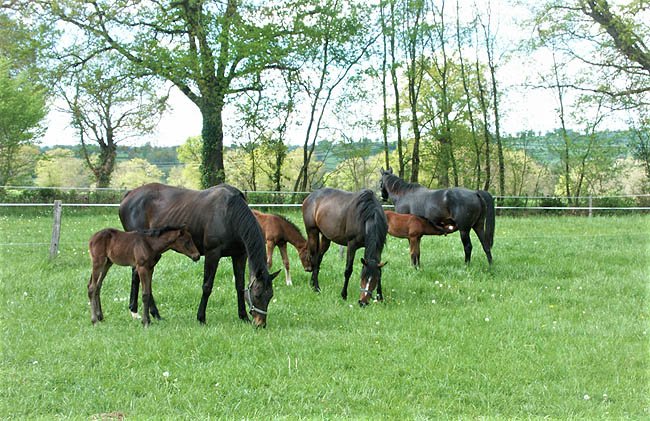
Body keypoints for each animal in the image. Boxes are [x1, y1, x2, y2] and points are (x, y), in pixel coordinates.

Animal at [119, 183, 280, 328]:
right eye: (257, 295)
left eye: (270, 295)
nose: (260, 324)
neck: (229, 214)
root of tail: (129, 195)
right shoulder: (212, 254)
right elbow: (207, 286)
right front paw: (201, 318)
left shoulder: (239, 255)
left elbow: (239, 286)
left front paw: (243, 316)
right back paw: (147, 313)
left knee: (137, 275)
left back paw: (143, 312)